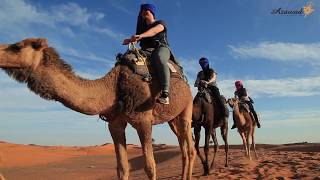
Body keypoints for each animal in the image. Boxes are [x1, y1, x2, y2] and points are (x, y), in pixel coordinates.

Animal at [0, 38, 195, 180]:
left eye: (17, 47)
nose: (0, 51)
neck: (114, 88)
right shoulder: (115, 123)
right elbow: (122, 168)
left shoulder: (144, 120)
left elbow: (150, 166)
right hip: (172, 119)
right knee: (183, 147)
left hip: (187, 108)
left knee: (190, 146)